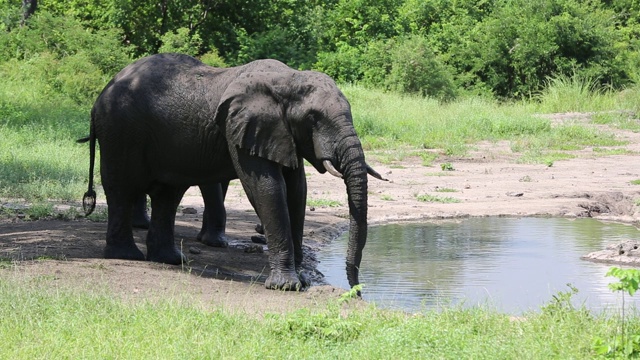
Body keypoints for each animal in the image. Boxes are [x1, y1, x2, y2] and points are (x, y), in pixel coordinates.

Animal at [80, 52, 384, 292]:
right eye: (313, 119)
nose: (356, 290)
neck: (288, 79)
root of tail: (100, 96)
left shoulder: (282, 134)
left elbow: (297, 190)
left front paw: (302, 280)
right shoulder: (242, 127)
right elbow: (267, 188)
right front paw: (286, 286)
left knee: (167, 195)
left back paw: (171, 260)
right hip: (120, 129)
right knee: (122, 187)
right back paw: (127, 256)